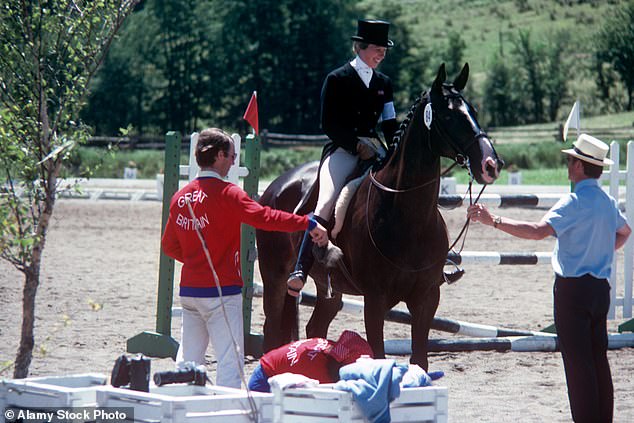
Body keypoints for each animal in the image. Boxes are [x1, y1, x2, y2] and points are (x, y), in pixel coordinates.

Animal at [254, 63, 502, 372]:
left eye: (473, 111)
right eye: (448, 115)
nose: (491, 165)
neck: (408, 216)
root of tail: (277, 185)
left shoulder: (427, 298)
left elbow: (420, 360)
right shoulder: (375, 301)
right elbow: (380, 355)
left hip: (329, 288)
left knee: (315, 328)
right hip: (275, 277)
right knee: (272, 329)